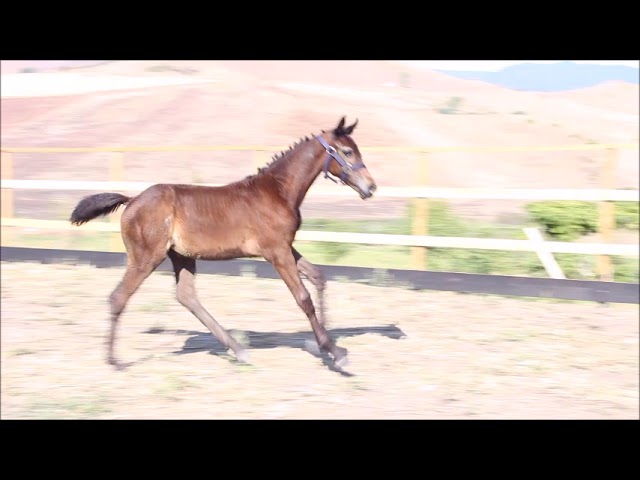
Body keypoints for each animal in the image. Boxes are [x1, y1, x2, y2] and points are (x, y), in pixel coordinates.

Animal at [70, 116, 377, 370]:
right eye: (347, 152)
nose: (371, 187)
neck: (277, 191)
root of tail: (132, 200)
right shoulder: (276, 252)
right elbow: (303, 297)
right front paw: (334, 353)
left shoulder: (285, 247)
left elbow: (319, 277)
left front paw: (327, 344)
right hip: (146, 257)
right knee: (119, 296)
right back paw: (114, 361)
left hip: (182, 256)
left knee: (186, 296)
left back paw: (238, 349)